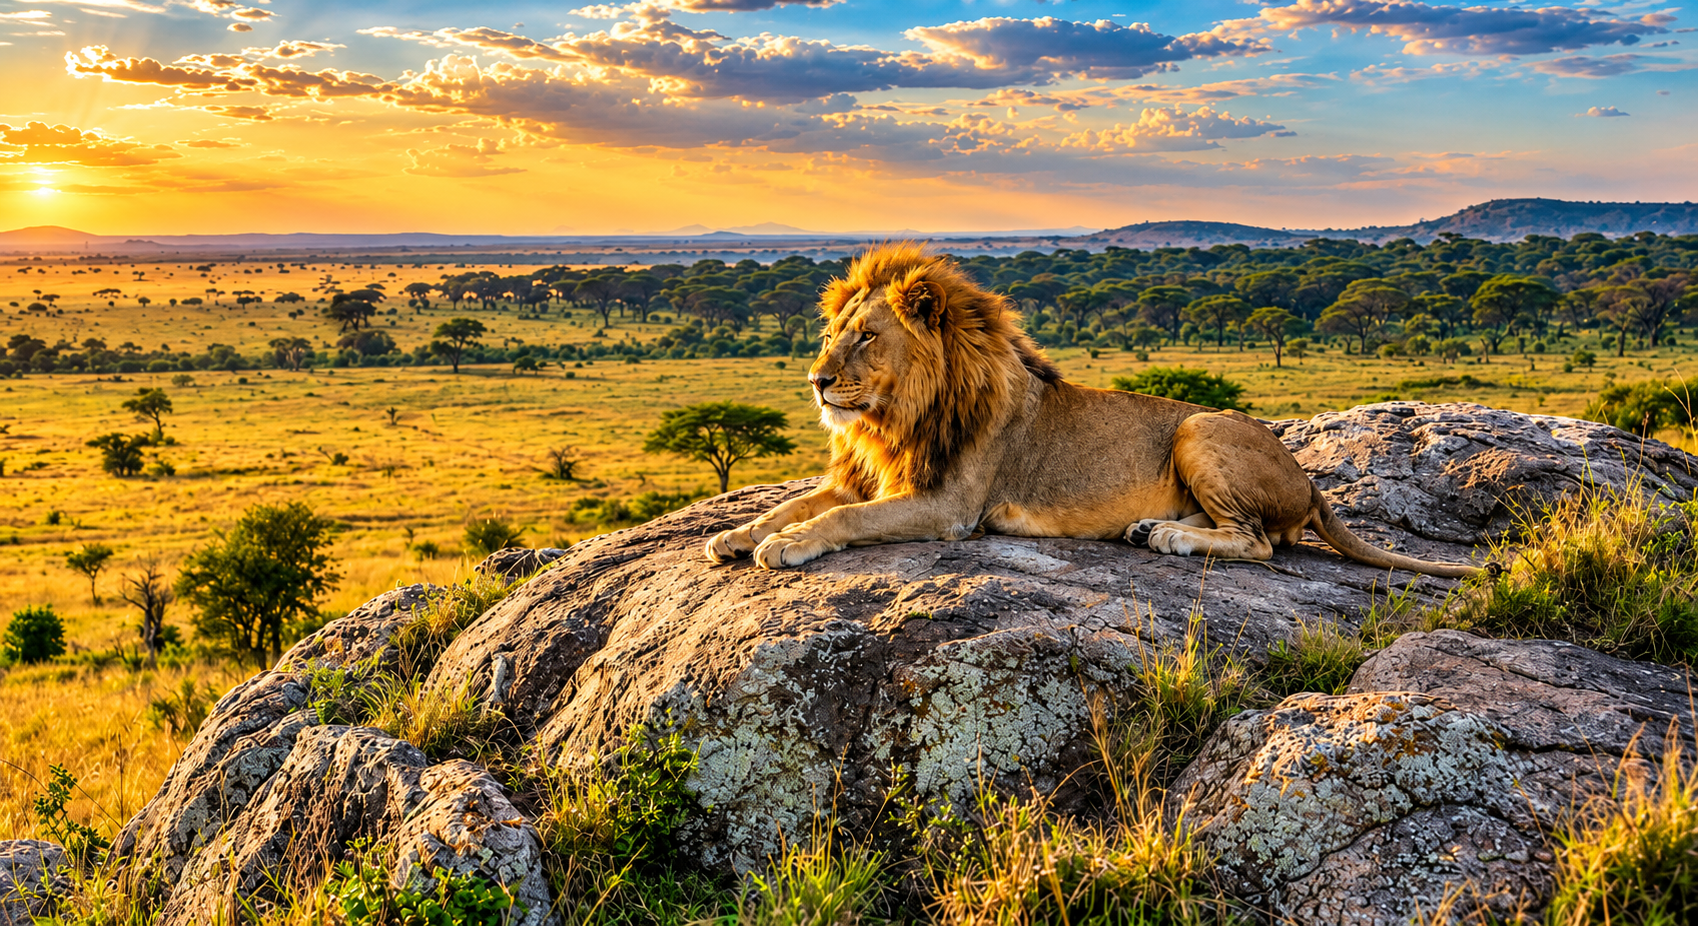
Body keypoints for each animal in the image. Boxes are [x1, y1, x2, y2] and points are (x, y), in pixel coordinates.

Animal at [705, 244, 1482, 579]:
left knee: (1259, 541)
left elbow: (843, 520)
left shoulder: (949, 504)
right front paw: (736, 535)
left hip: (1199, 426)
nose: (816, 381)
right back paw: (1151, 528)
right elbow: (793, 503)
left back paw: (1170, 538)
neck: (892, 419)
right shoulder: (865, 475)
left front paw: (786, 544)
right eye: (833, 333)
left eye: (868, 337)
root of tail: (1312, 482)